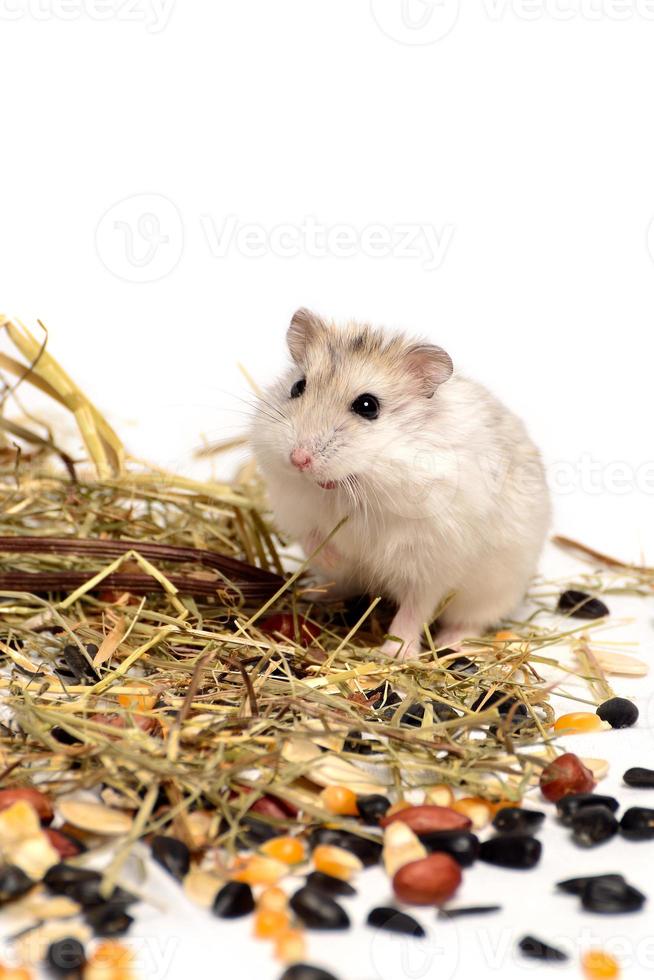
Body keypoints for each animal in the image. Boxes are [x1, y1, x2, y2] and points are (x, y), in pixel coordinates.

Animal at [251, 306, 552, 660]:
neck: (351, 485)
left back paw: (451, 644)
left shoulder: (427, 564)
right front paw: (335, 558)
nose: (299, 459)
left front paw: (394, 653)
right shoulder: (300, 512)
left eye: (368, 406)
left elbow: (413, 611)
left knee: (467, 620)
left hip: (492, 591)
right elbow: (315, 539)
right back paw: (315, 593)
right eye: (298, 387)